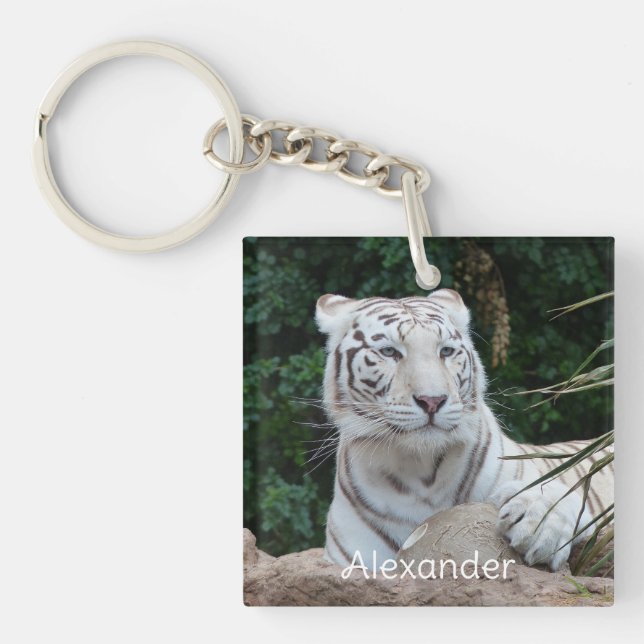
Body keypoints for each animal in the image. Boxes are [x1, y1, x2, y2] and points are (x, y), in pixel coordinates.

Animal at [316, 288, 613, 571]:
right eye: (389, 352)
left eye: (446, 351)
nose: (432, 400)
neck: (420, 471)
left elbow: (557, 493)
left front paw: (538, 527)